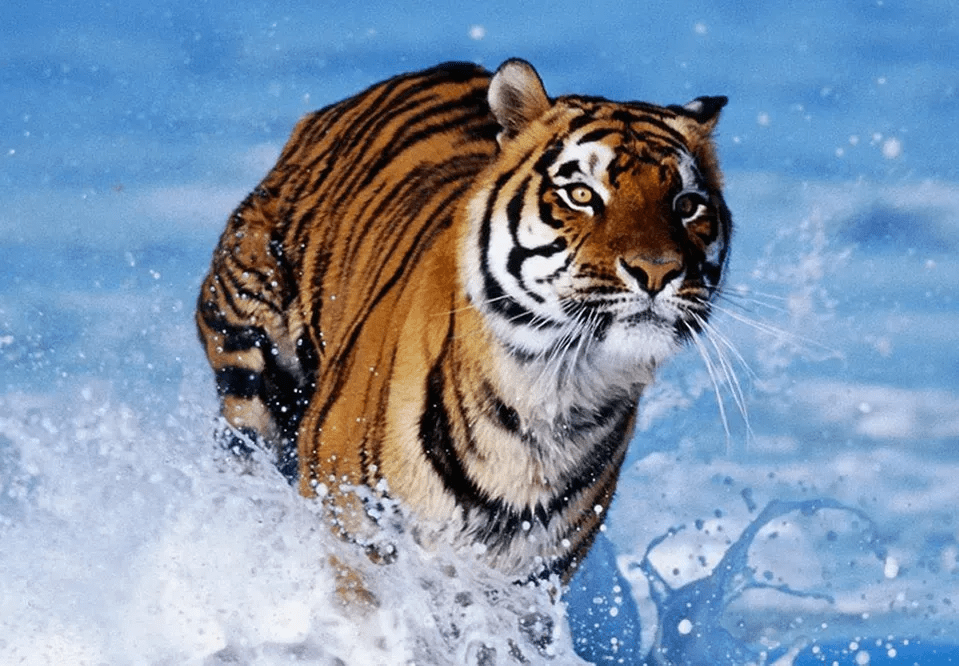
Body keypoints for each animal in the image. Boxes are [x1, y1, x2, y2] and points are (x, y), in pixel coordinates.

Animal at [196, 58, 731, 583]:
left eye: (687, 205)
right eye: (581, 194)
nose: (657, 270)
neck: (553, 394)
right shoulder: (353, 530)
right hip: (252, 371)